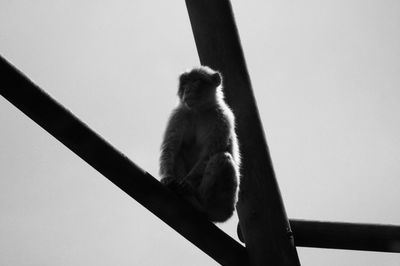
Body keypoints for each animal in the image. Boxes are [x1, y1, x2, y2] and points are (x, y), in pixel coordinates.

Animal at [159, 66, 241, 222]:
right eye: (185, 82)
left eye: (196, 81)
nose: (187, 89)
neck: (199, 110)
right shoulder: (178, 115)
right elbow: (170, 148)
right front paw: (167, 177)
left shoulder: (222, 117)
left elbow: (210, 152)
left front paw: (188, 183)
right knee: (179, 153)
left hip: (226, 204)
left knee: (222, 158)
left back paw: (200, 204)